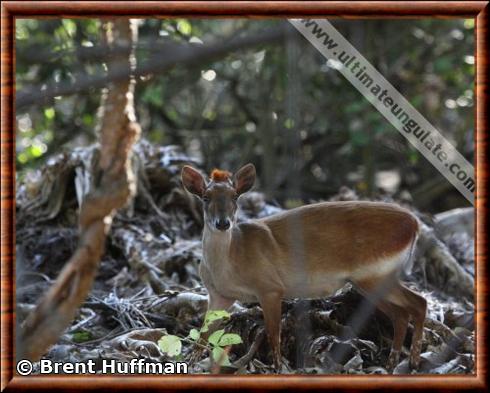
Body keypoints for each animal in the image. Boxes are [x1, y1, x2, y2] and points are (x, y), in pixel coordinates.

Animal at [182, 162, 426, 370]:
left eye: (234, 196)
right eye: (205, 197)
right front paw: (189, 362)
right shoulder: (220, 294)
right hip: (373, 277)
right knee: (404, 312)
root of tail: (414, 224)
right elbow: (203, 333)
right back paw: (395, 364)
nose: (223, 223)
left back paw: (411, 362)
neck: (231, 262)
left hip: (373, 273)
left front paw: (278, 368)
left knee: (416, 304)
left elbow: (273, 334)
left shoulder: (270, 287)